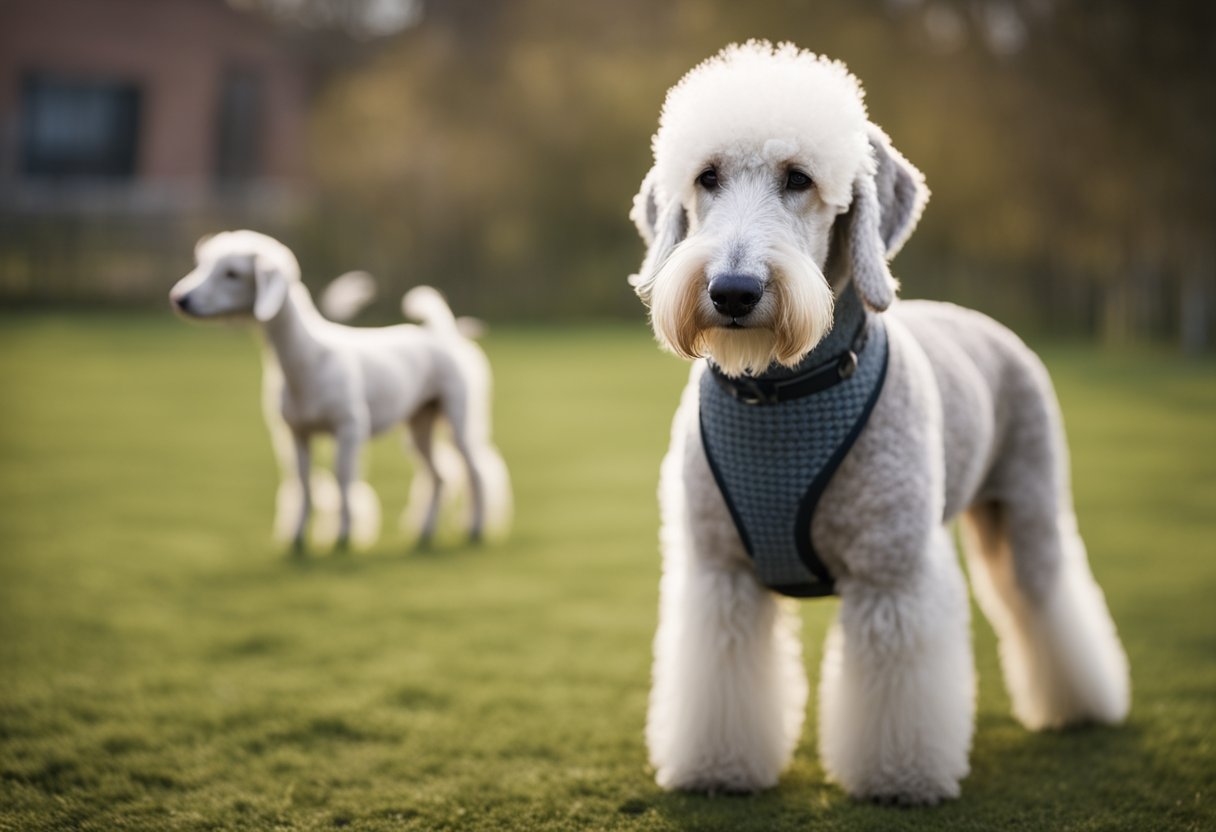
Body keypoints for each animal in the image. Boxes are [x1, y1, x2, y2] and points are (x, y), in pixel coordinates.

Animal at [172, 228, 513, 552]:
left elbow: (343, 480)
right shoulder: (296, 432)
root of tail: (444, 332)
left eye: (232, 273)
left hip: (460, 415)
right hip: (420, 422)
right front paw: (297, 540)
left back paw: (475, 529)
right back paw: (424, 533)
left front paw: (344, 538)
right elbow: (305, 484)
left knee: (477, 472)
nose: (179, 298)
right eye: (203, 265)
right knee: (439, 476)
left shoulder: (349, 428)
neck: (308, 359)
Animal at [632, 43, 1123, 807]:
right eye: (706, 176)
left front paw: (900, 778)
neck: (782, 392)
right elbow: (721, 681)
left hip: (1030, 510)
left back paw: (1083, 707)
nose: (733, 291)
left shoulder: (893, 576)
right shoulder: (719, 574)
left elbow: (900, 693)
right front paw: (717, 768)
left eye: (799, 178)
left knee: (1047, 601)